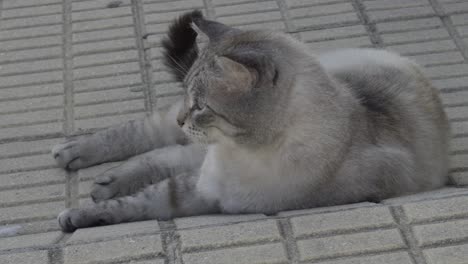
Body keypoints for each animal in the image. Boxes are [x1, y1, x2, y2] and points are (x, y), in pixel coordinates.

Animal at [53, 9, 452, 231]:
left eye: (201, 105)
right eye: (189, 96)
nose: (184, 118)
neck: (240, 151)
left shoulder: (203, 198)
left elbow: (136, 203)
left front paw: (82, 214)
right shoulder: (197, 185)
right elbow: (131, 203)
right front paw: (76, 216)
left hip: (194, 149)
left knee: (162, 154)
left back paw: (104, 181)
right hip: (182, 139)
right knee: (148, 137)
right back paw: (73, 154)